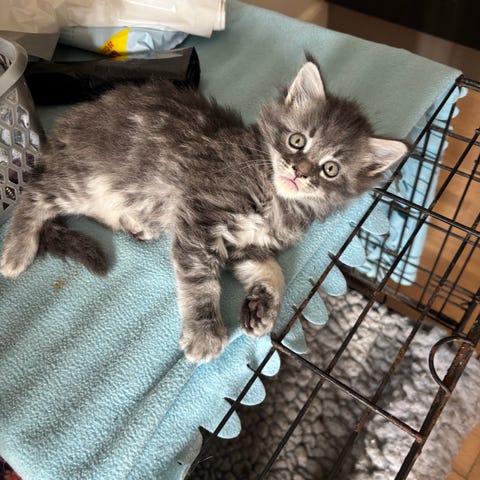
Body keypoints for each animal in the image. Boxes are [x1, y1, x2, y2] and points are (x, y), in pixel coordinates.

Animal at [0, 58, 407, 362]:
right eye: (297, 140)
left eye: (330, 169)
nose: (299, 172)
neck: (275, 198)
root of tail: (66, 126)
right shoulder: (200, 215)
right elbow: (201, 282)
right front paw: (205, 334)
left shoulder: (247, 244)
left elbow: (274, 271)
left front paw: (262, 307)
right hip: (85, 179)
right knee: (34, 192)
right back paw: (16, 251)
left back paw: (136, 223)